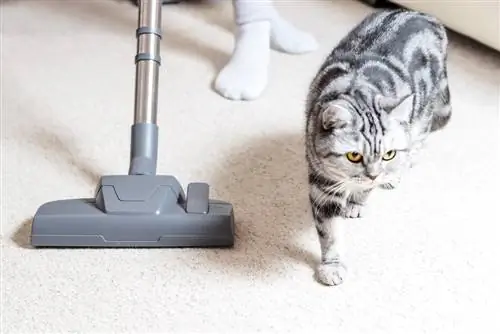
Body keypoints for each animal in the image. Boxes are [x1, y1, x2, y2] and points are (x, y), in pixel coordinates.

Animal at [304, 9, 454, 286]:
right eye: (354, 156)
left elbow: (365, 192)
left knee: (419, 140)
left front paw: (358, 202)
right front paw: (332, 266)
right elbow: (330, 233)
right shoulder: (322, 184)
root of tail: (424, 13)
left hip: (423, 112)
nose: (374, 175)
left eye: (388, 154)